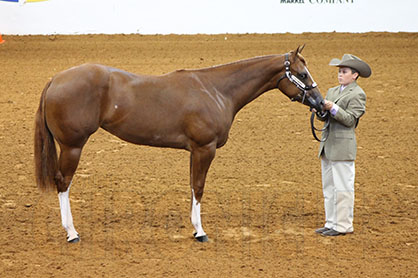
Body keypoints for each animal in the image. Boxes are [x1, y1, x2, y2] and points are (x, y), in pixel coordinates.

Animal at [34, 44, 324, 242]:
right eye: (302, 74)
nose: (321, 104)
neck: (216, 90)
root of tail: (55, 79)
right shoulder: (205, 148)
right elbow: (199, 187)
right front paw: (201, 232)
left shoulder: (194, 151)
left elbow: (192, 186)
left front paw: (195, 228)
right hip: (72, 146)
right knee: (63, 183)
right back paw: (72, 233)